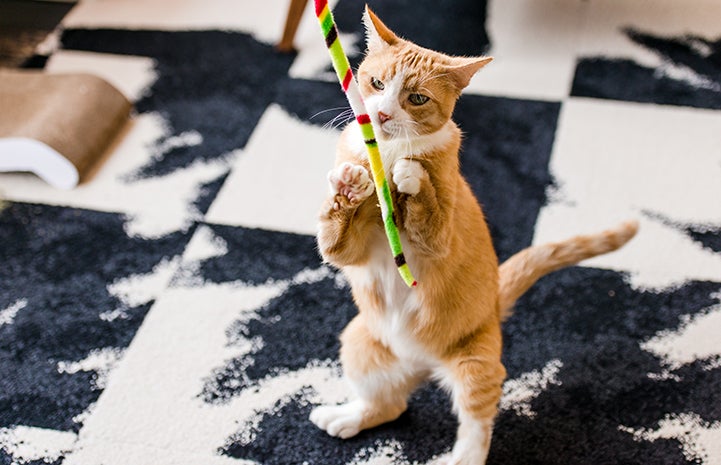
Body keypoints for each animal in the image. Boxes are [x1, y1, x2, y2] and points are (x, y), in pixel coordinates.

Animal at [310, 6, 636, 460]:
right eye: (376, 83)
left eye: (416, 98)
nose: (384, 115)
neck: (387, 153)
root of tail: (424, 365)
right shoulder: (352, 252)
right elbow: (337, 240)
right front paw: (348, 186)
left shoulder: (439, 240)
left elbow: (428, 213)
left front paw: (412, 177)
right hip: (359, 341)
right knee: (390, 404)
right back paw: (349, 416)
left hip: (475, 364)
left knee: (476, 420)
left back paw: (461, 457)